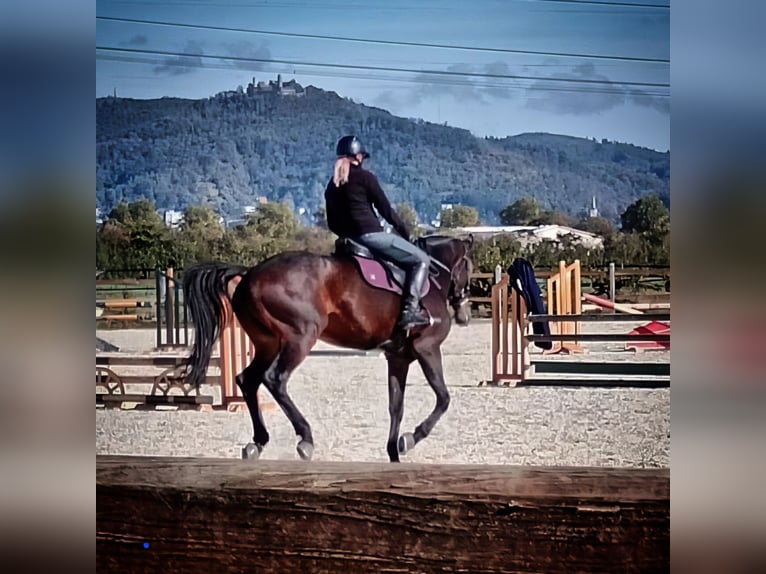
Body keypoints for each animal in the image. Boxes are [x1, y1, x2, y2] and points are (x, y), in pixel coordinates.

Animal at [181, 234, 474, 463]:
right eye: (469, 267)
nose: (464, 314)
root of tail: (250, 274)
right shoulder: (427, 348)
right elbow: (443, 398)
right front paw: (411, 438)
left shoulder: (398, 358)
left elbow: (396, 406)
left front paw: (394, 452)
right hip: (300, 337)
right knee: (274, 379)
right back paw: (305, 438)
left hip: (267, 343)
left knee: (248, 380)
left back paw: (258, 442)